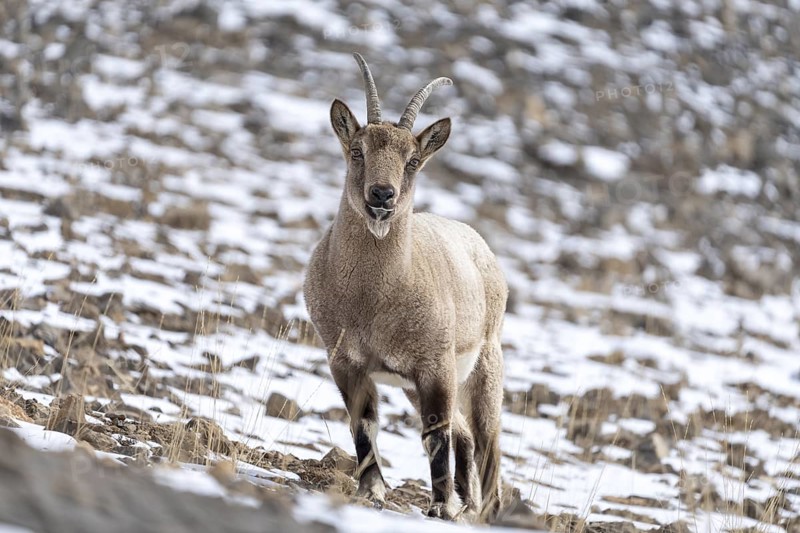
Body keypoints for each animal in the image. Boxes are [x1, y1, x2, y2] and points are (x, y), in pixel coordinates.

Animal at [303, 53, 507, 522]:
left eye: (413, 160)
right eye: (357, 150)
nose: (382, 195)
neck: (372, 301)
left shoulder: (435, 366)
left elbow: (435, 434)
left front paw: (439, 506)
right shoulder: (346, 362)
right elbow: (363, 424)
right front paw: (373, 491)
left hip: (484, 366)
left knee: (485, 439)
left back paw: (484, 509)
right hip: (419, 385)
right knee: (466, 434)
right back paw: (468, 501)